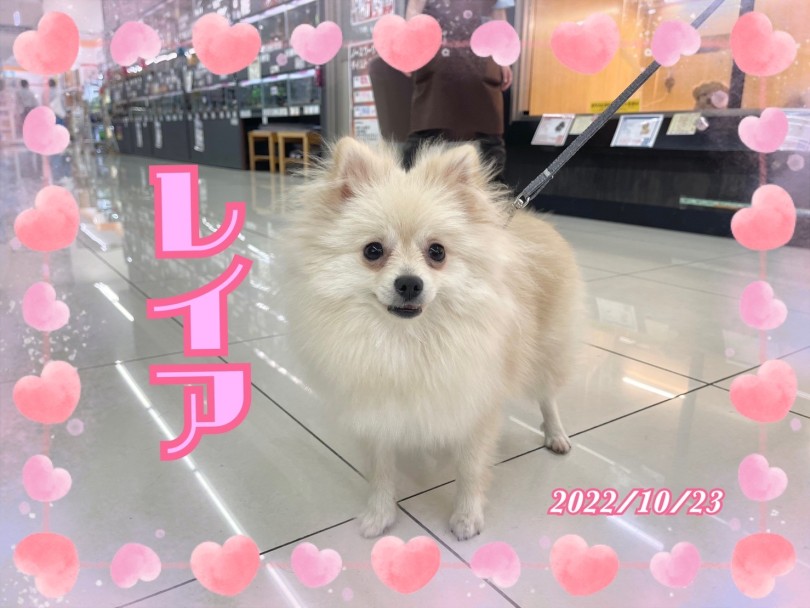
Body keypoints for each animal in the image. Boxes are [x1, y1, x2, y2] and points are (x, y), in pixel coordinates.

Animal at [282, 137, 583, 540]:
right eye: (372, 251)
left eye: (437, 252)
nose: (409, 283)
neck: (408, 341)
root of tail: (534, 219)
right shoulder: (376, 409)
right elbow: (380, 471)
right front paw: (379, 514)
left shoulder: (476, 405)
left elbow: (470, 468)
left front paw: (466, 517)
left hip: (547, 350)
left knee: (548, 396)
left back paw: (556, 434)